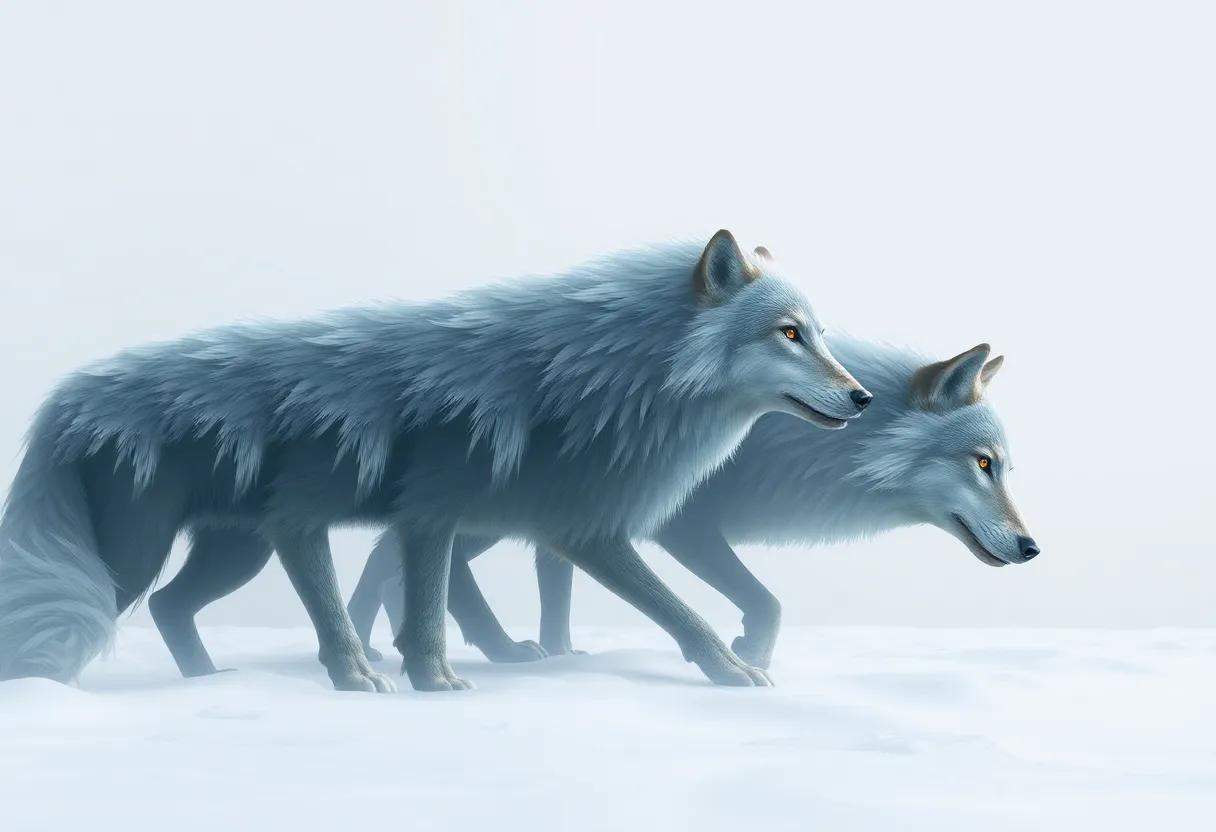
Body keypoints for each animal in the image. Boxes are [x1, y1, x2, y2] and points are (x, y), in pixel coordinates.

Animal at [0, 231, 871, 691]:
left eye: (821, 334)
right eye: (789, 333)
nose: (862, 397)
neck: (596, 378)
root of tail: (65, 397)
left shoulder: (455, 522)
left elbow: (429, 609)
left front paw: (428, 680)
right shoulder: (565, 531)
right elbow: (681, 611)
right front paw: (731, 670)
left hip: (235, 552)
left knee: (174, 609)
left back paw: (208, 682)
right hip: (139, 556)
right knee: (114, 607)